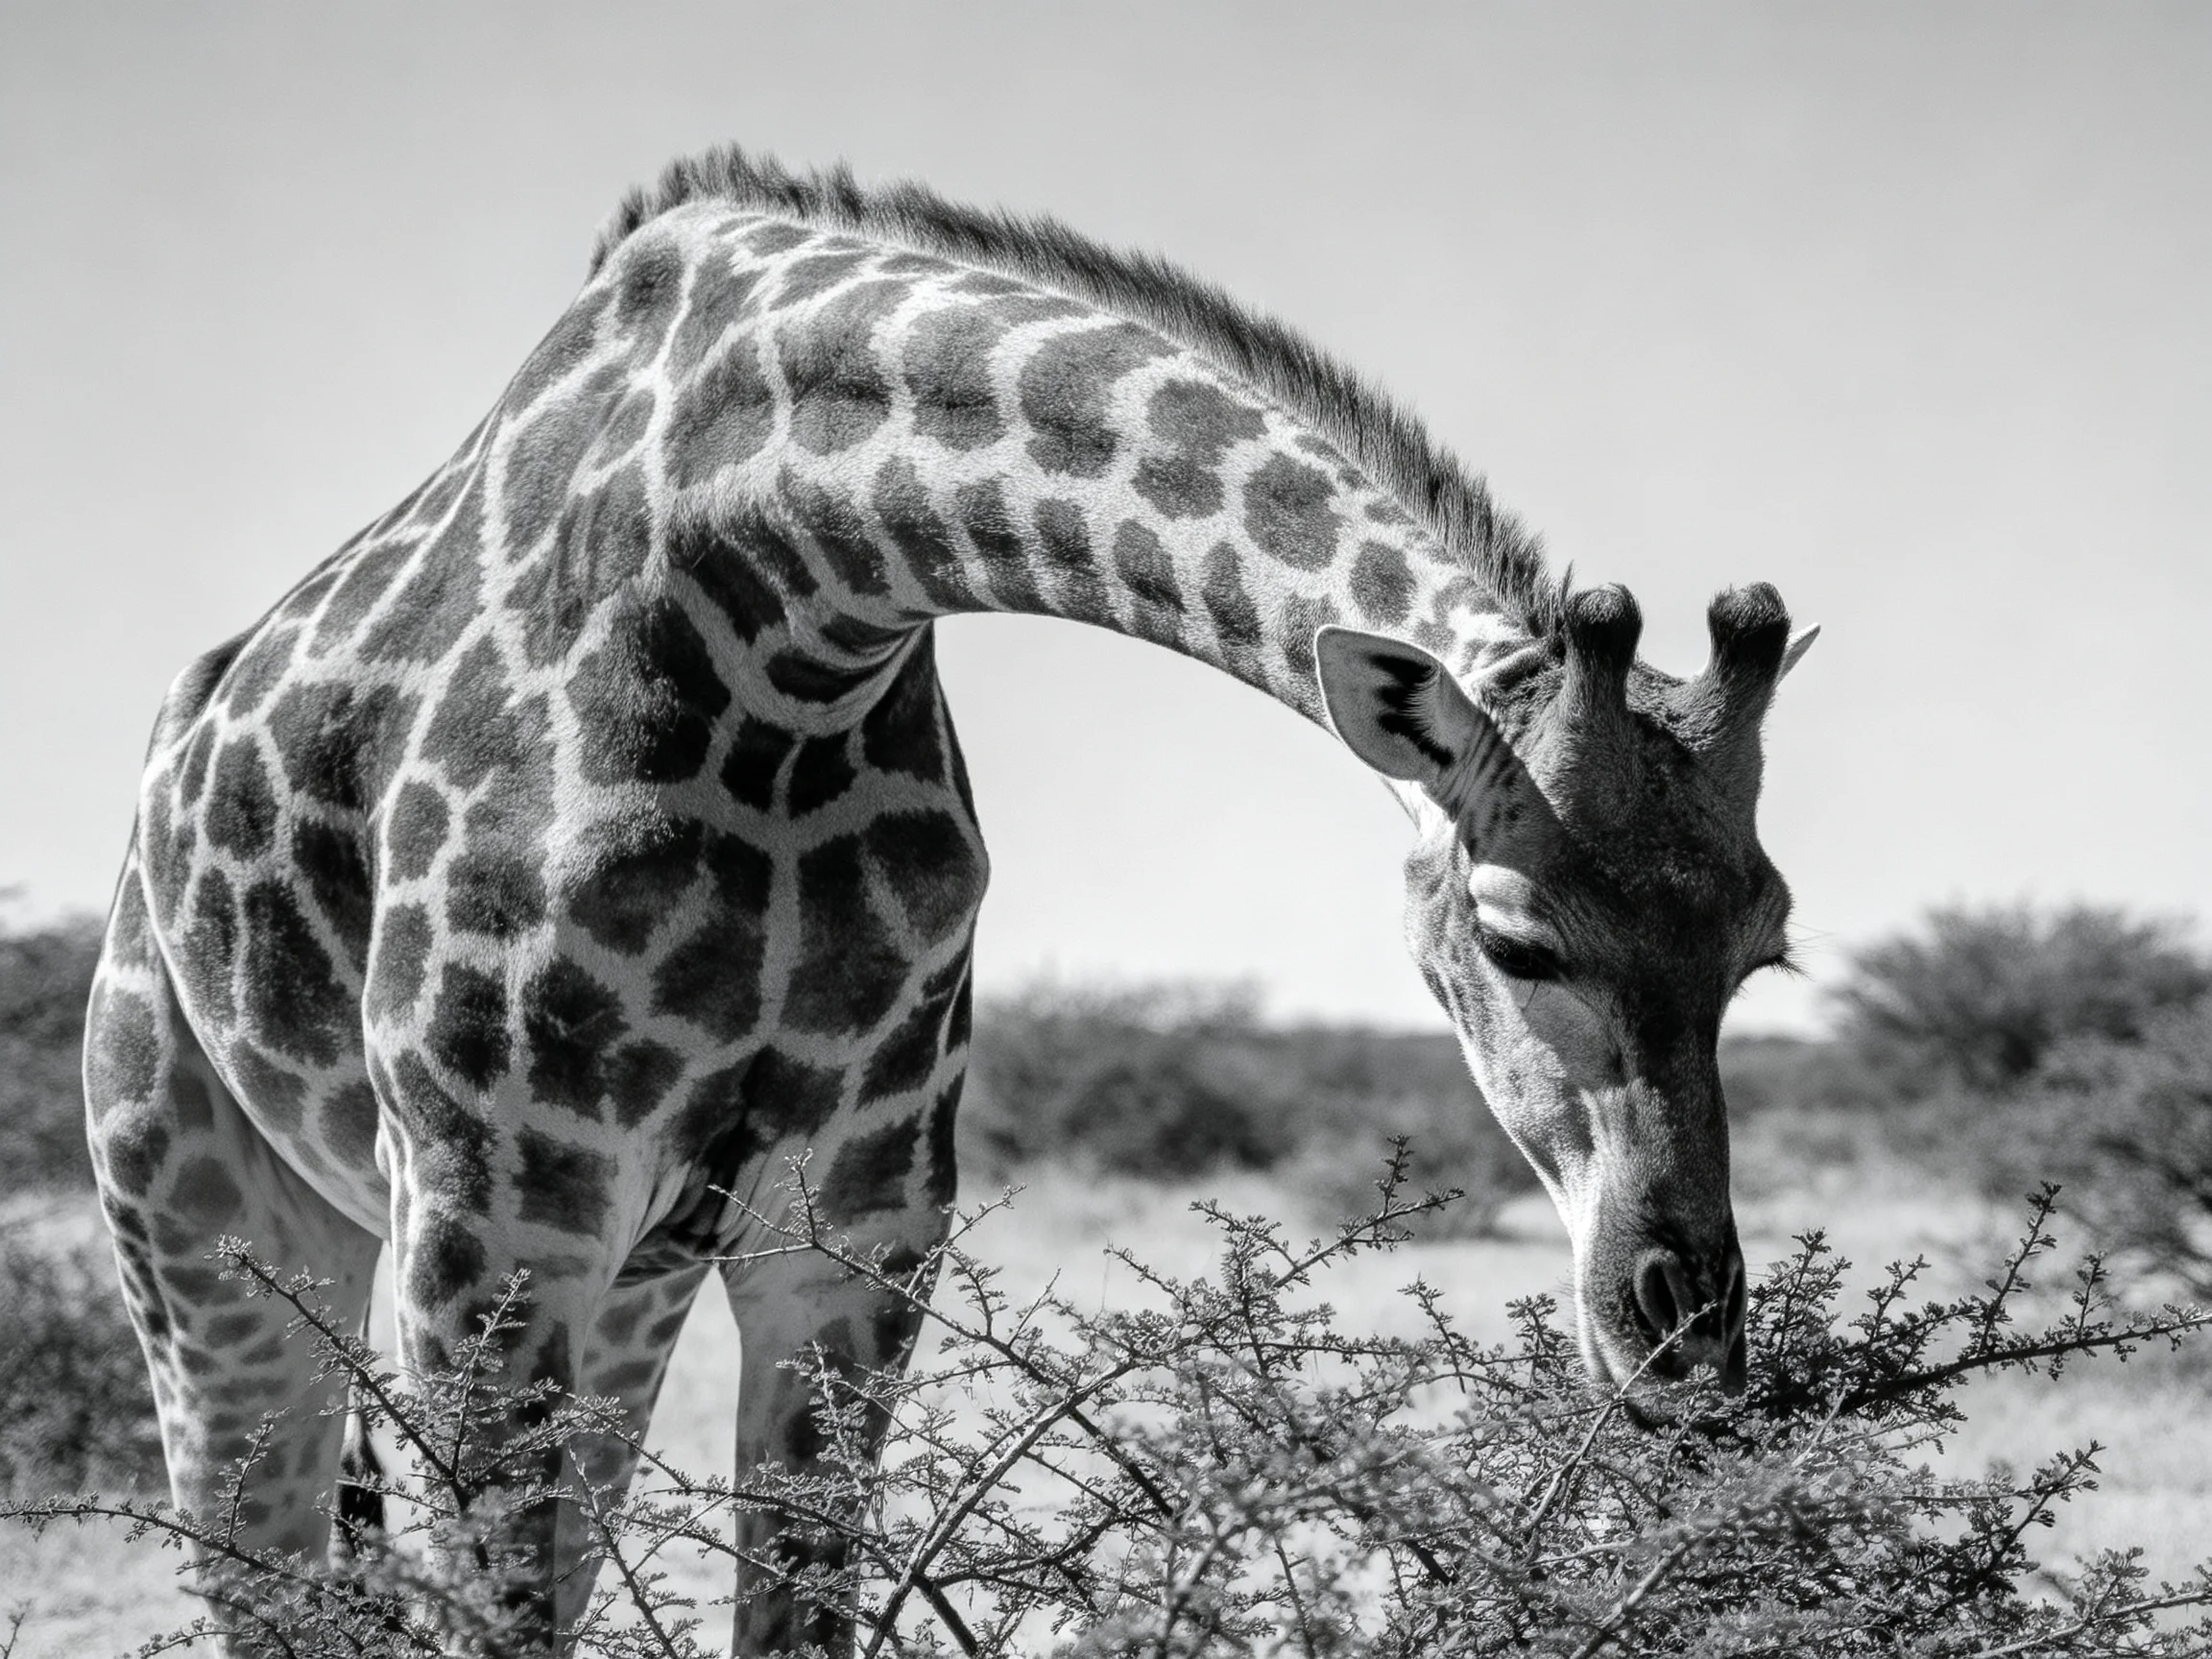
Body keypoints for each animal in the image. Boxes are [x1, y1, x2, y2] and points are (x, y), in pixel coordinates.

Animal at [83, 143, 1814, 1653]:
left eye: (1763, 949)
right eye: (1517, 937)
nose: (1685, 1338)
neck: (774, 600)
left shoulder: (853, 1226)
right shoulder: (489, 1211)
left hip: (626, 1280)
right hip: (213, 1240)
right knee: (260, 1578)